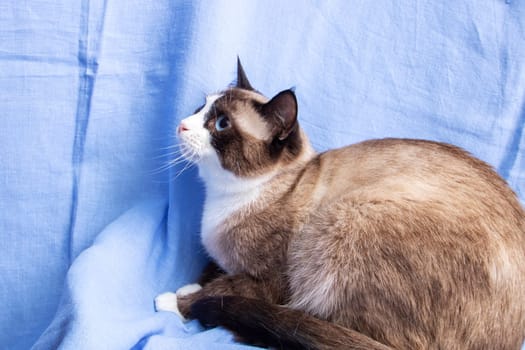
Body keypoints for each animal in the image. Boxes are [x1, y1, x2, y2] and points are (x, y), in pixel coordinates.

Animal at [155, 58, 524, 348]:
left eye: (221, 124)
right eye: (199, 109)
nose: (181, 125)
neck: (224, 197)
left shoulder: (269, 282)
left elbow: (217, 290)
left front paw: (175, 300)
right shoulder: (227, 263)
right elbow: (210, 271)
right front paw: (193, 283)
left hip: (347, 217)